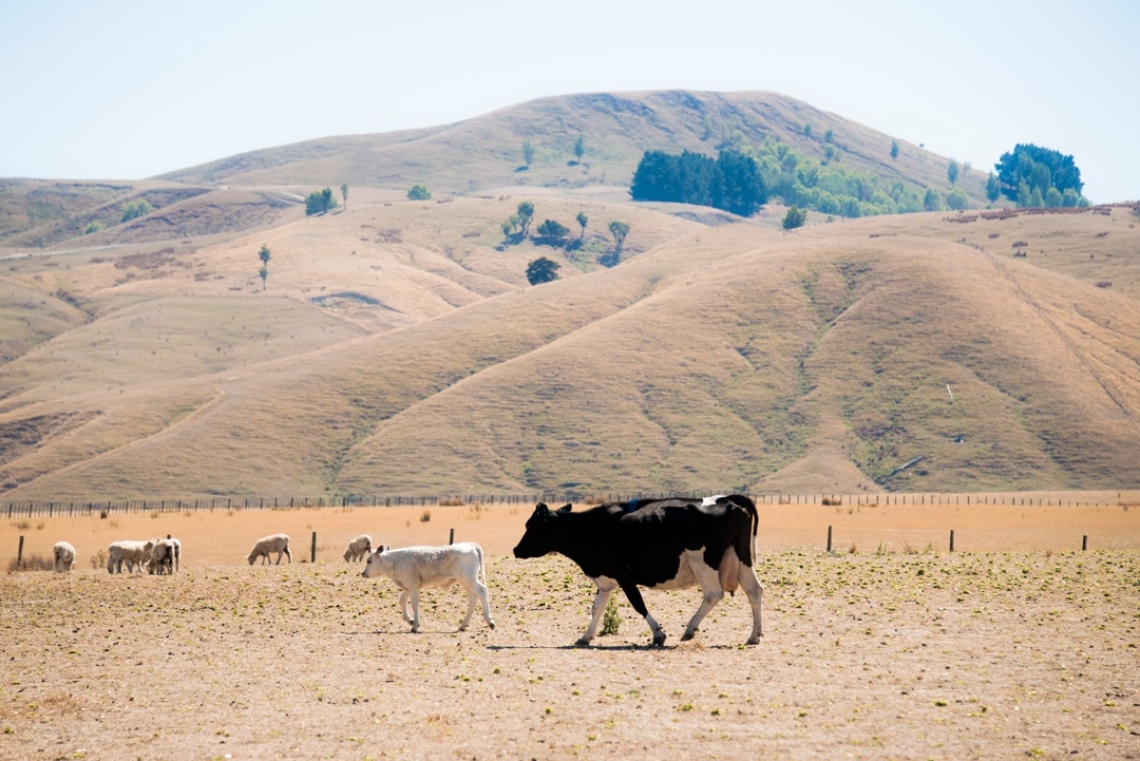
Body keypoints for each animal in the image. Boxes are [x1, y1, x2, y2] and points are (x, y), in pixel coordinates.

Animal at [360, 544, 494, 633]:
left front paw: (414, 626)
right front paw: (410, 620)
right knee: (473, 598)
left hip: (469, 580)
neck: (396, 561)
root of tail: (470, 545)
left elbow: (414, 604)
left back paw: (489, 621)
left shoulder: (413, 587)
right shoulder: (408, 588)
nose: (363, 573)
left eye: (369, 561)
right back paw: (463, 625)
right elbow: (402, 601)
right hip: (465, 582)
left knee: (482, 591)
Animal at [515, 494, 766, 647]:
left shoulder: (622, 573)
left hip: (703, 560)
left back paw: (690, 628)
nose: (516, 549)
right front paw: (585, 637)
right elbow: (597, 608)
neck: (593, 527)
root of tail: (728, 499)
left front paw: (658, 634)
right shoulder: (606, 578)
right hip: (741, 558)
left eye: (530, 526)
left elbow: (638, 603)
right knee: (754, 591)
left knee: (714, 593)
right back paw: (754, 636)